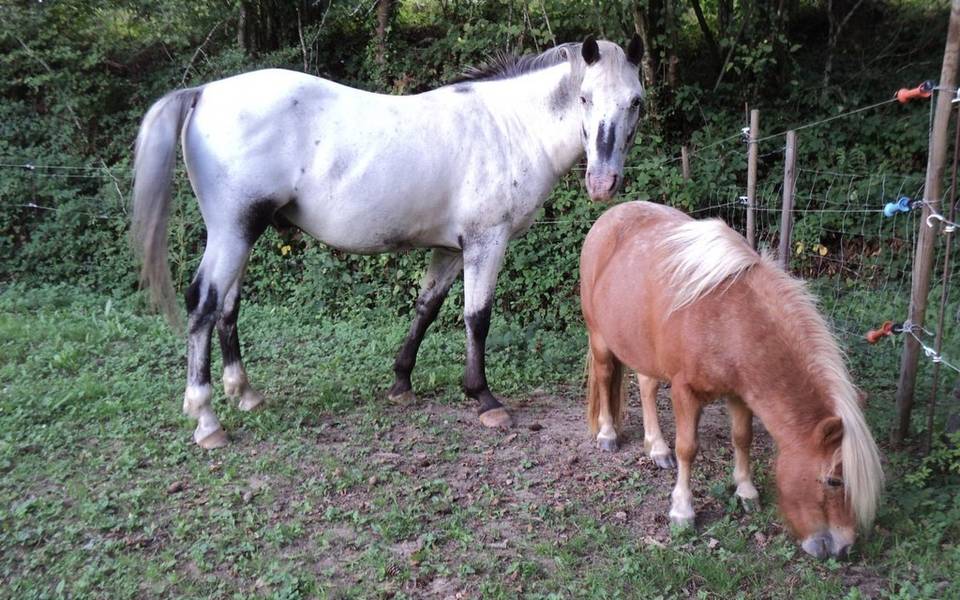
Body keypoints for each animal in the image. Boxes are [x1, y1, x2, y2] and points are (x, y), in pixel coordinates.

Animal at [133, 37, 644, 448]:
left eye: (636, 102)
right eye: (584, 97)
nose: (602, 183)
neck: (509, 128)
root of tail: (202, 93)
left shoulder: (451, 249)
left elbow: (426, 307)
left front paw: (401, 382)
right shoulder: (486, 242)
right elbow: (477, 318)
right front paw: (484, 398)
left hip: (241, 234)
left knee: (227, 306)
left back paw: (245, 394)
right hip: (233, 230)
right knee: (204, 303)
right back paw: (206, 420)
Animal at [576, 200, 884, 556]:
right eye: (834, 480)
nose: (844, 548)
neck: (730, 321)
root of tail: (609, 216)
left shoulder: (740, 393)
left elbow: (741, 437)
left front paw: (746, 491)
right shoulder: (685, 392)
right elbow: (688, 448)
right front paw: (682, 510)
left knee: (647, 386)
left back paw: (657, 448)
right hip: (599, 338)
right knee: (604, 376)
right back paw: (608, 434)